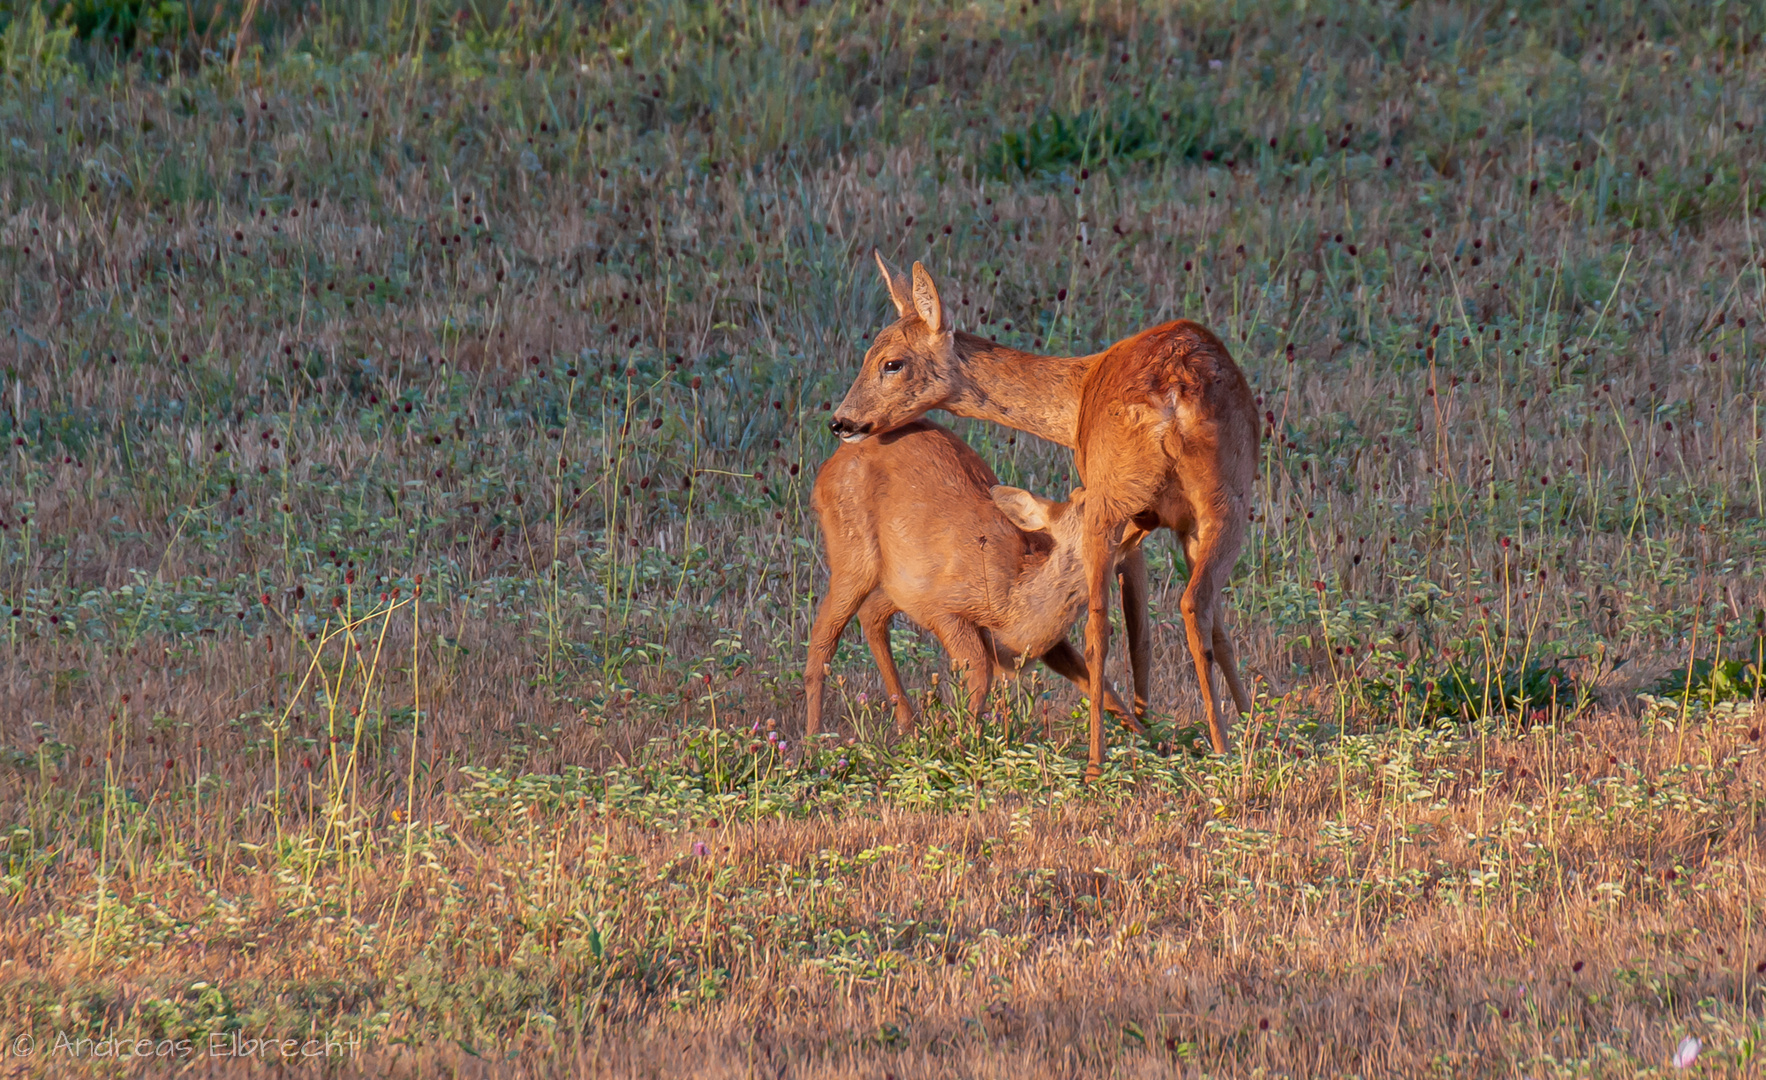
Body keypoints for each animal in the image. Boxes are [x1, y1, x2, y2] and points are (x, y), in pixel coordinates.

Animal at [805, 418, 1144, 737]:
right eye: (1088, 505)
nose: (1141, 515)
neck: (1015, 611)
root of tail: (828, 466)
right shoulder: (942, 606)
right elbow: (980, 672)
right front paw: (963, 739)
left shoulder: (1050, 642)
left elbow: (1096, 681)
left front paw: (1148, 737)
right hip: (852, 555)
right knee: (822, 640)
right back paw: (814, 740)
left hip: (897, 584)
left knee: (871, 615)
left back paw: (906, 723)